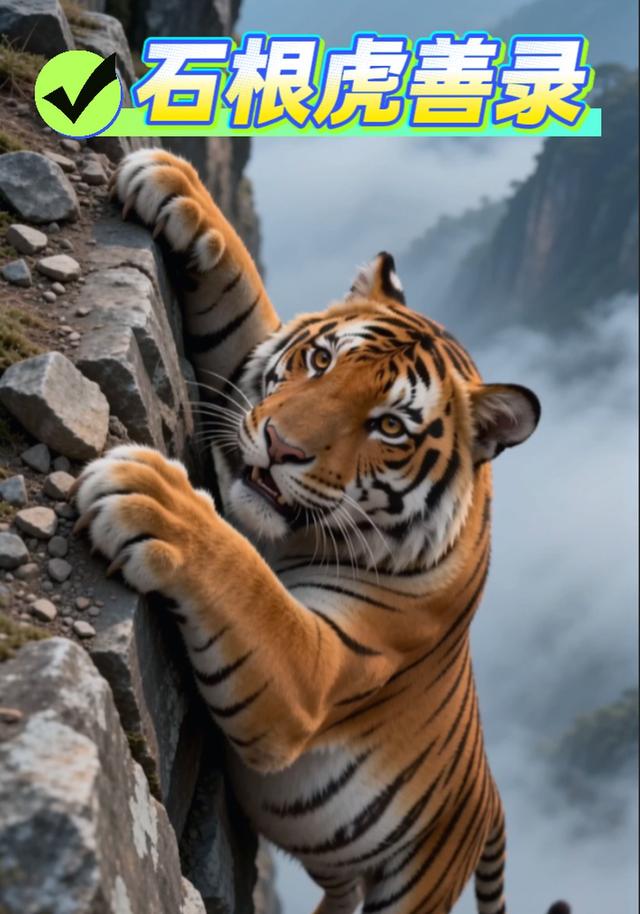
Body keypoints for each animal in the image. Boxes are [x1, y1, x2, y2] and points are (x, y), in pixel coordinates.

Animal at [72, 149, 568, 914]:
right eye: (322, 360)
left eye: (389, 427)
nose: (280, 445)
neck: (285, 536)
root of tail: (491, 801)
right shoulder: (242, 373)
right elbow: (245, 304)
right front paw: (175, 183)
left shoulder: (313, 671)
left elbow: (246, 582)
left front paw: (153, 499)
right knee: (338, 884)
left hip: (415, 885)